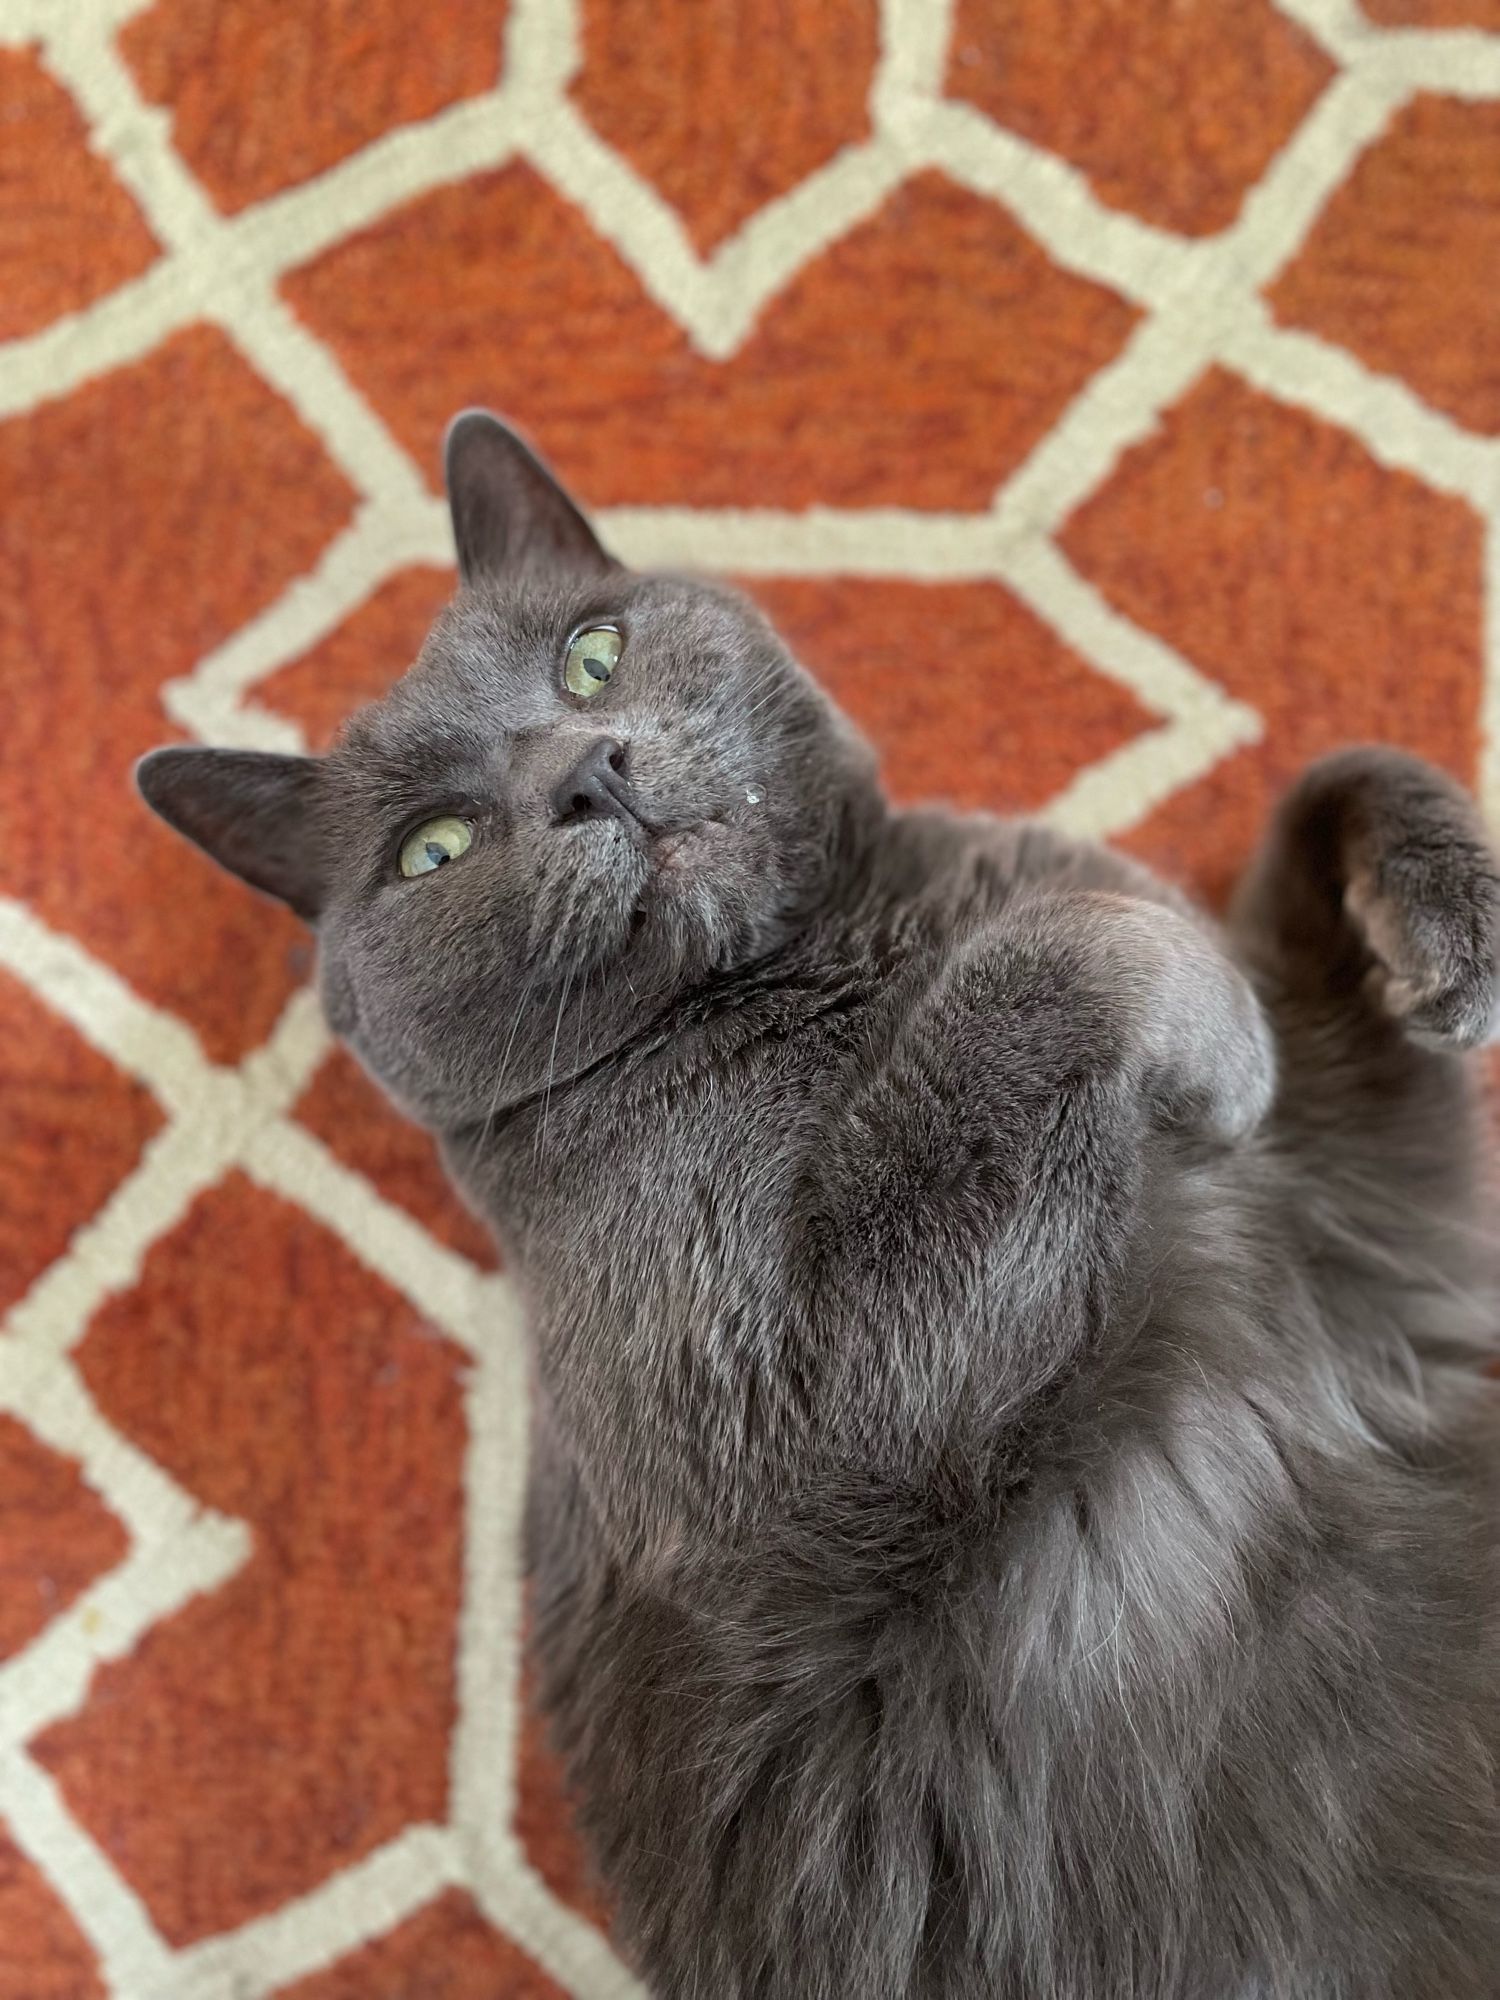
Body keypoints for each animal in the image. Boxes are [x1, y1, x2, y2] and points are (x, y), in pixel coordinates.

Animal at [135, 414, 1496, 1992]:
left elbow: (1331, 777)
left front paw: (1449, 927)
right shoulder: (782, 1409)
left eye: (591, 657)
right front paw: (1210, 1030)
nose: (592, 769)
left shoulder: (1369, 1201)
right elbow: (1060, 963)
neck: (846, 955)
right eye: (435, 850)